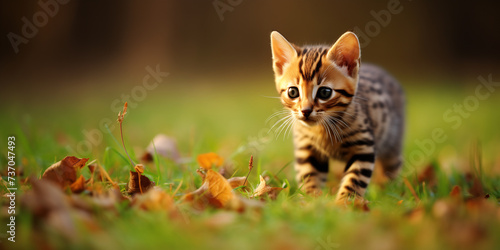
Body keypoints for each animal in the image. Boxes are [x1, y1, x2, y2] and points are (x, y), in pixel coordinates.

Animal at [270, 31, 406, 203]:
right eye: (293, 92)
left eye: (325, 92)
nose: (305, 111)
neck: (322, 130)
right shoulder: (307, 147)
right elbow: (309, 175)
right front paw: (311, 200)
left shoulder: (363, 147)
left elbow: (355, 179)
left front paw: (345, 203)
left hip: (392, 141)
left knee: (392, 167)